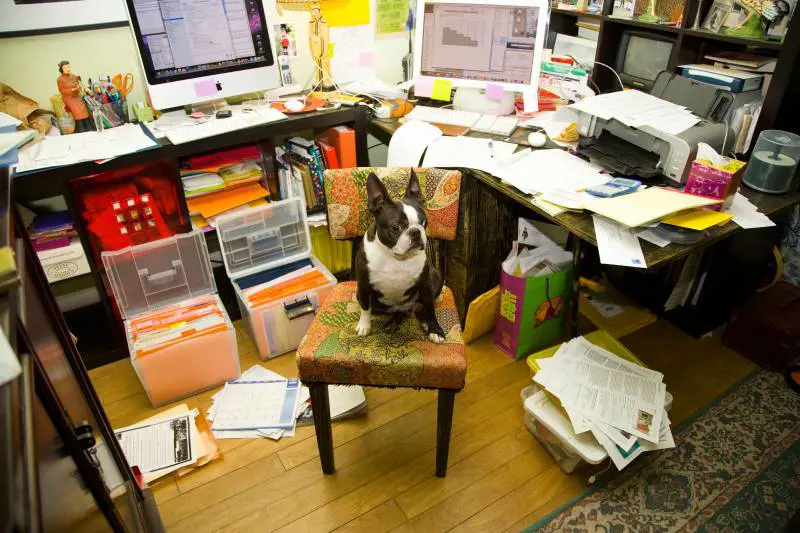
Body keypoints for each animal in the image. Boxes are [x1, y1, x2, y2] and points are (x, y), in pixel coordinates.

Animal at [354, 169, 446, 344]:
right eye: (396, 227)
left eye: (424, 223)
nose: (416, 232)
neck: (395, 257)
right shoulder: (363, 286)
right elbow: (365, 307)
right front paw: (364, 325)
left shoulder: (426, 284)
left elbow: (430, 309)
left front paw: (435, 330)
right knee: (401, 312)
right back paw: (392, 323)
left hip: (435, 276)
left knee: (420, 308)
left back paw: (422, 322)